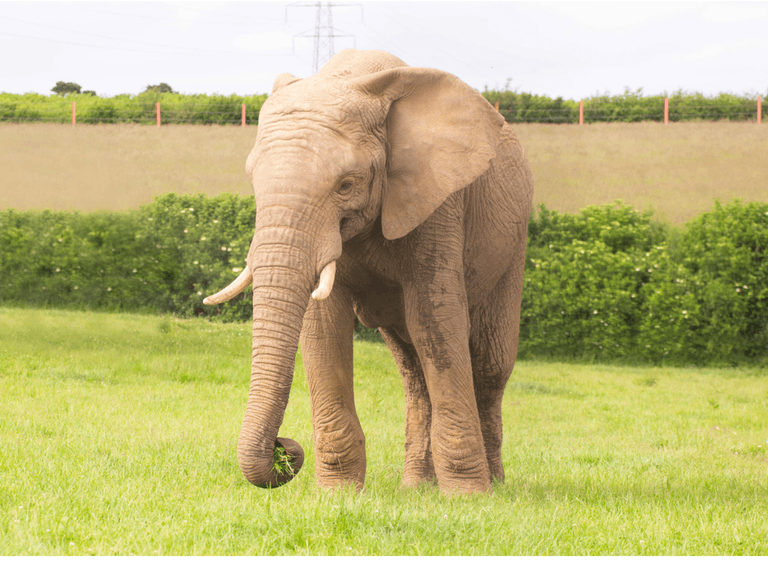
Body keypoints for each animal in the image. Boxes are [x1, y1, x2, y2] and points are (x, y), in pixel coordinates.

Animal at [204, 49, 533, 495]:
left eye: (347, 184)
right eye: (253, 181)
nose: (284, 449)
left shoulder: (439, 203)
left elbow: (435, 319)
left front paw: (468, 498)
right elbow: (324, 326)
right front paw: (338, 493)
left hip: (514, 246)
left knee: (488, 364)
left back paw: (492, 485)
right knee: (413, 370)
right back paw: (416, 487)